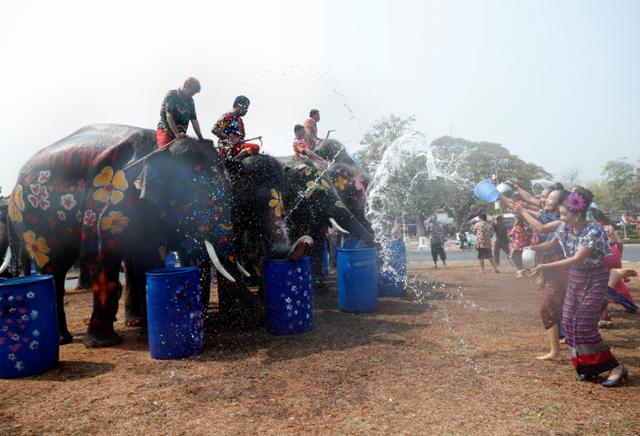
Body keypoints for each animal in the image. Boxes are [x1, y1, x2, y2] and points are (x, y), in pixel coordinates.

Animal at [2, 123, 308, 348]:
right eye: (191, 195)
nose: (260, 314)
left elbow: (158, 254)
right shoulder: (112, 197)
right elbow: (107, 247)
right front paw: (102, 342)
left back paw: (133, 323)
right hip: (33, 216)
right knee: (53, 267)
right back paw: (66, 339)